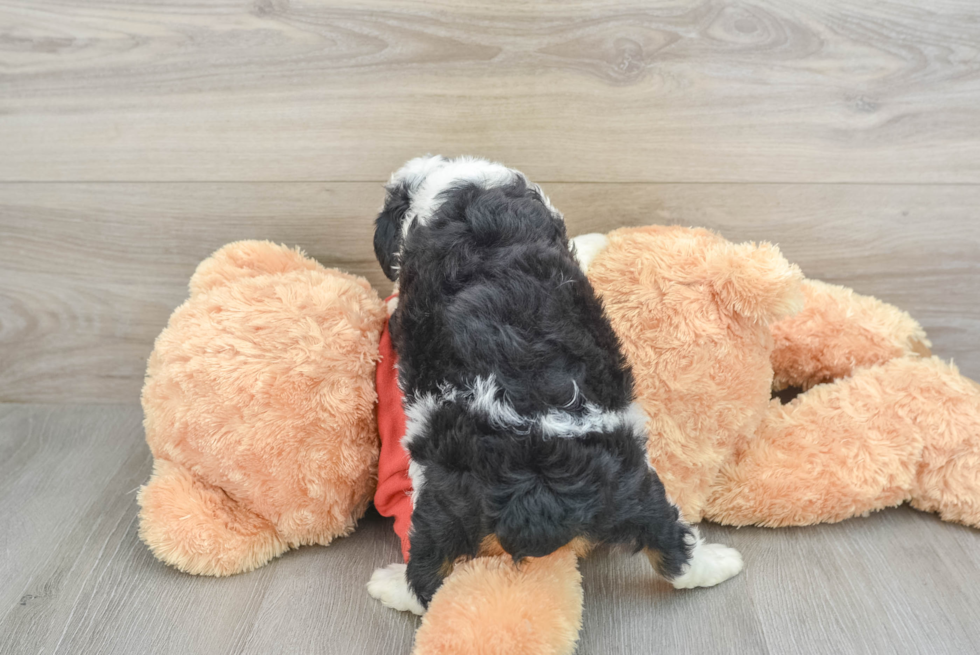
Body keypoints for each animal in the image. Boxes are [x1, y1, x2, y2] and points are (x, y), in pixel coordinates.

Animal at [368, 155, 744, 616]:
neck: (470, 197)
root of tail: (539, 484)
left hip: (445, 500)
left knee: (426, 573)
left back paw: (389, 586)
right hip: (631, 483)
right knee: (672, 543)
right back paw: (720, 563)